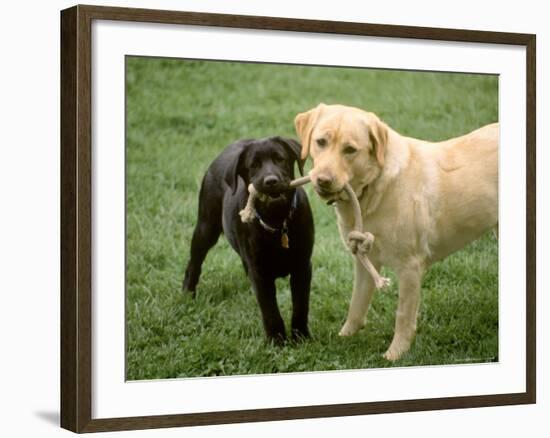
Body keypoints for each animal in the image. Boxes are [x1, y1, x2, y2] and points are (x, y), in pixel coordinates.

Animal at [183, 137, 314, 342]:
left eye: (280, 159)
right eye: (253, 166)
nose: (270, 181)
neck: (277, 220)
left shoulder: (302, 267)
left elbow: (301, 306)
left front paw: (301, 337)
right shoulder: (260, 273)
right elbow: (270, 311)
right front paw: (277, 341)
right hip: (205, 227)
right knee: (194, 264)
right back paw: (187, 295)